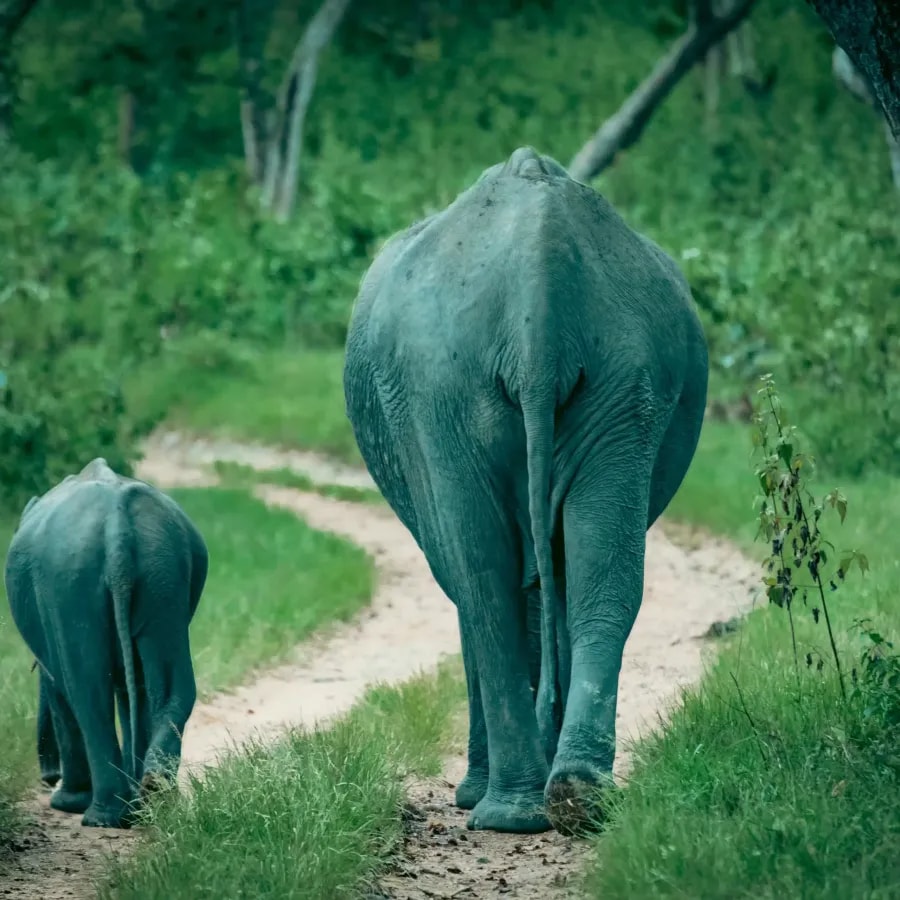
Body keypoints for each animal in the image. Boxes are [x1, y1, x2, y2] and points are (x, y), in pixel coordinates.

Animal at [4, 457, 208, 828]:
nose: (47, 777)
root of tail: (117, 526)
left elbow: (61, 685)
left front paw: (67, 804)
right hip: (164, 574)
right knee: (170, 684)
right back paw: (153, 800)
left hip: (70, 582)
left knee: (85, 691)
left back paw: (103, 816)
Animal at [343, 146, 709, 836]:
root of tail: (540, 274)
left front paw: (474, 793)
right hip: (626, 376)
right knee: (598, 573)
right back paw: (574, 794)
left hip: (444, 392)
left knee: (481, 581)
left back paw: (507, 811)